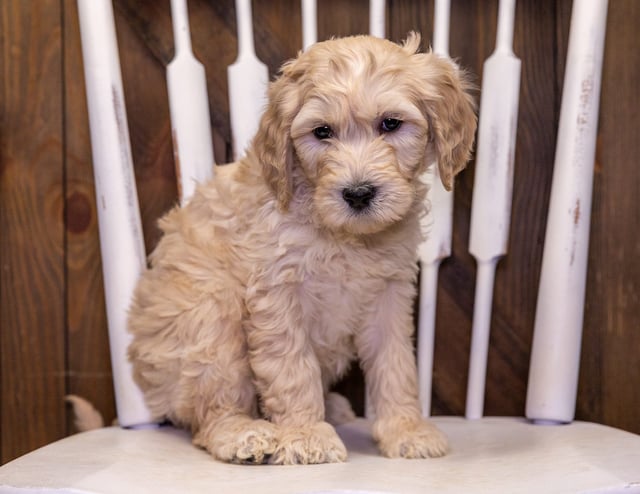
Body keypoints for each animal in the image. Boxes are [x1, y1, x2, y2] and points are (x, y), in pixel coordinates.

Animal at [127, 32, 476, 466]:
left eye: (391, 124)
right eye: (322, 132)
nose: (358, 194)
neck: (344, 236)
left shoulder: (389, 294)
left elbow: (396, 365)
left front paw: (406, 429)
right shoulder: (277, 291)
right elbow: (292, 368)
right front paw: (307, 434)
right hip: (209, 316)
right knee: (212, 410)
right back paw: (242, 434)